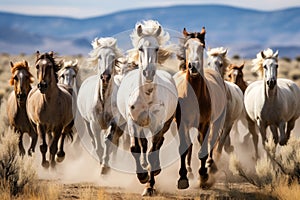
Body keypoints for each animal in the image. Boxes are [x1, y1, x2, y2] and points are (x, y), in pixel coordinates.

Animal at [77, 36, 125, 174]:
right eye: (99, 57)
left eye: (113, 57)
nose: (105, 76)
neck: (103, 99)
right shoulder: (94, 124)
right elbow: (98, 145)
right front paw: (101, 163)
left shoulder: (114, 122)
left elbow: (108, 142)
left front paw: (105, 167)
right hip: (87, 123)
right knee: (93, 141)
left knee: (115, 142)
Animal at [116, 19, 178, 195]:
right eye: (140, 48)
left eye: (156, 48)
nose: (148, 73)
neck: (147, 95)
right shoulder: (133, 122)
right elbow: (135, 148)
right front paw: (142, 176)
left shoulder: (157, 123)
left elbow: (152, 152)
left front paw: (149, 186)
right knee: (143, 144)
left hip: (165, 124)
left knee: (158, 143)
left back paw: (155, 170)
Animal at [172, 27, 226, 190]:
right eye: (186, 46)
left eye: (202, 46)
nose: (193, 66)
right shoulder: (182, 123)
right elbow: (183, 148)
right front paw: (183, 178)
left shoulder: (204, 124)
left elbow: (203, 149)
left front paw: (203, 176)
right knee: (190, 145)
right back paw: (190, 171)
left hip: (217, 122)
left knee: (212, 141)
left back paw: (209, 166)